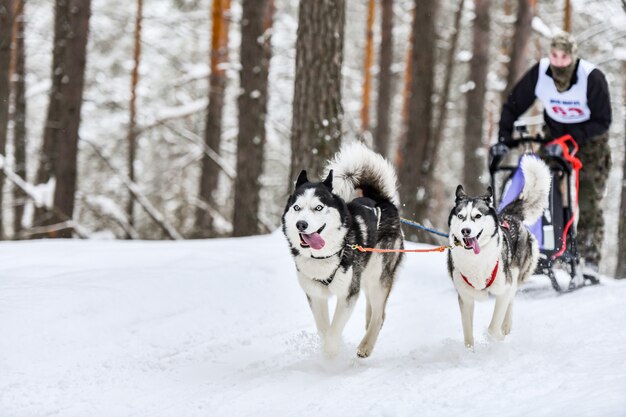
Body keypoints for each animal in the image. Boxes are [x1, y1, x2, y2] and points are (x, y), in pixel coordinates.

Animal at [280, 142, 402, 358]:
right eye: (296, 208)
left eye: (318, 208)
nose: (301, 224)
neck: (323, 256)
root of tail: (381, 200)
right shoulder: (316, 296)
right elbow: (323, 329)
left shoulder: (347, 294)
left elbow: (333, 332)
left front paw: (331, 355)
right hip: (366, 276)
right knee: (375, 310)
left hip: (378, 275)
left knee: (379, 315)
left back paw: (366, 346)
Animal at [446, 156, 548, 348]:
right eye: (461, 216)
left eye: (478, 216)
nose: (465, 231)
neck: (476, 261)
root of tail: (509, 215)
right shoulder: (465, 298)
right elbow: (468, 335)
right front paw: (469, 351)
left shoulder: (504, 289)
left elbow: (493, 328)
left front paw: (497, 337)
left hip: (515, 274)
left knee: (511, 301)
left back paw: (506, 326)